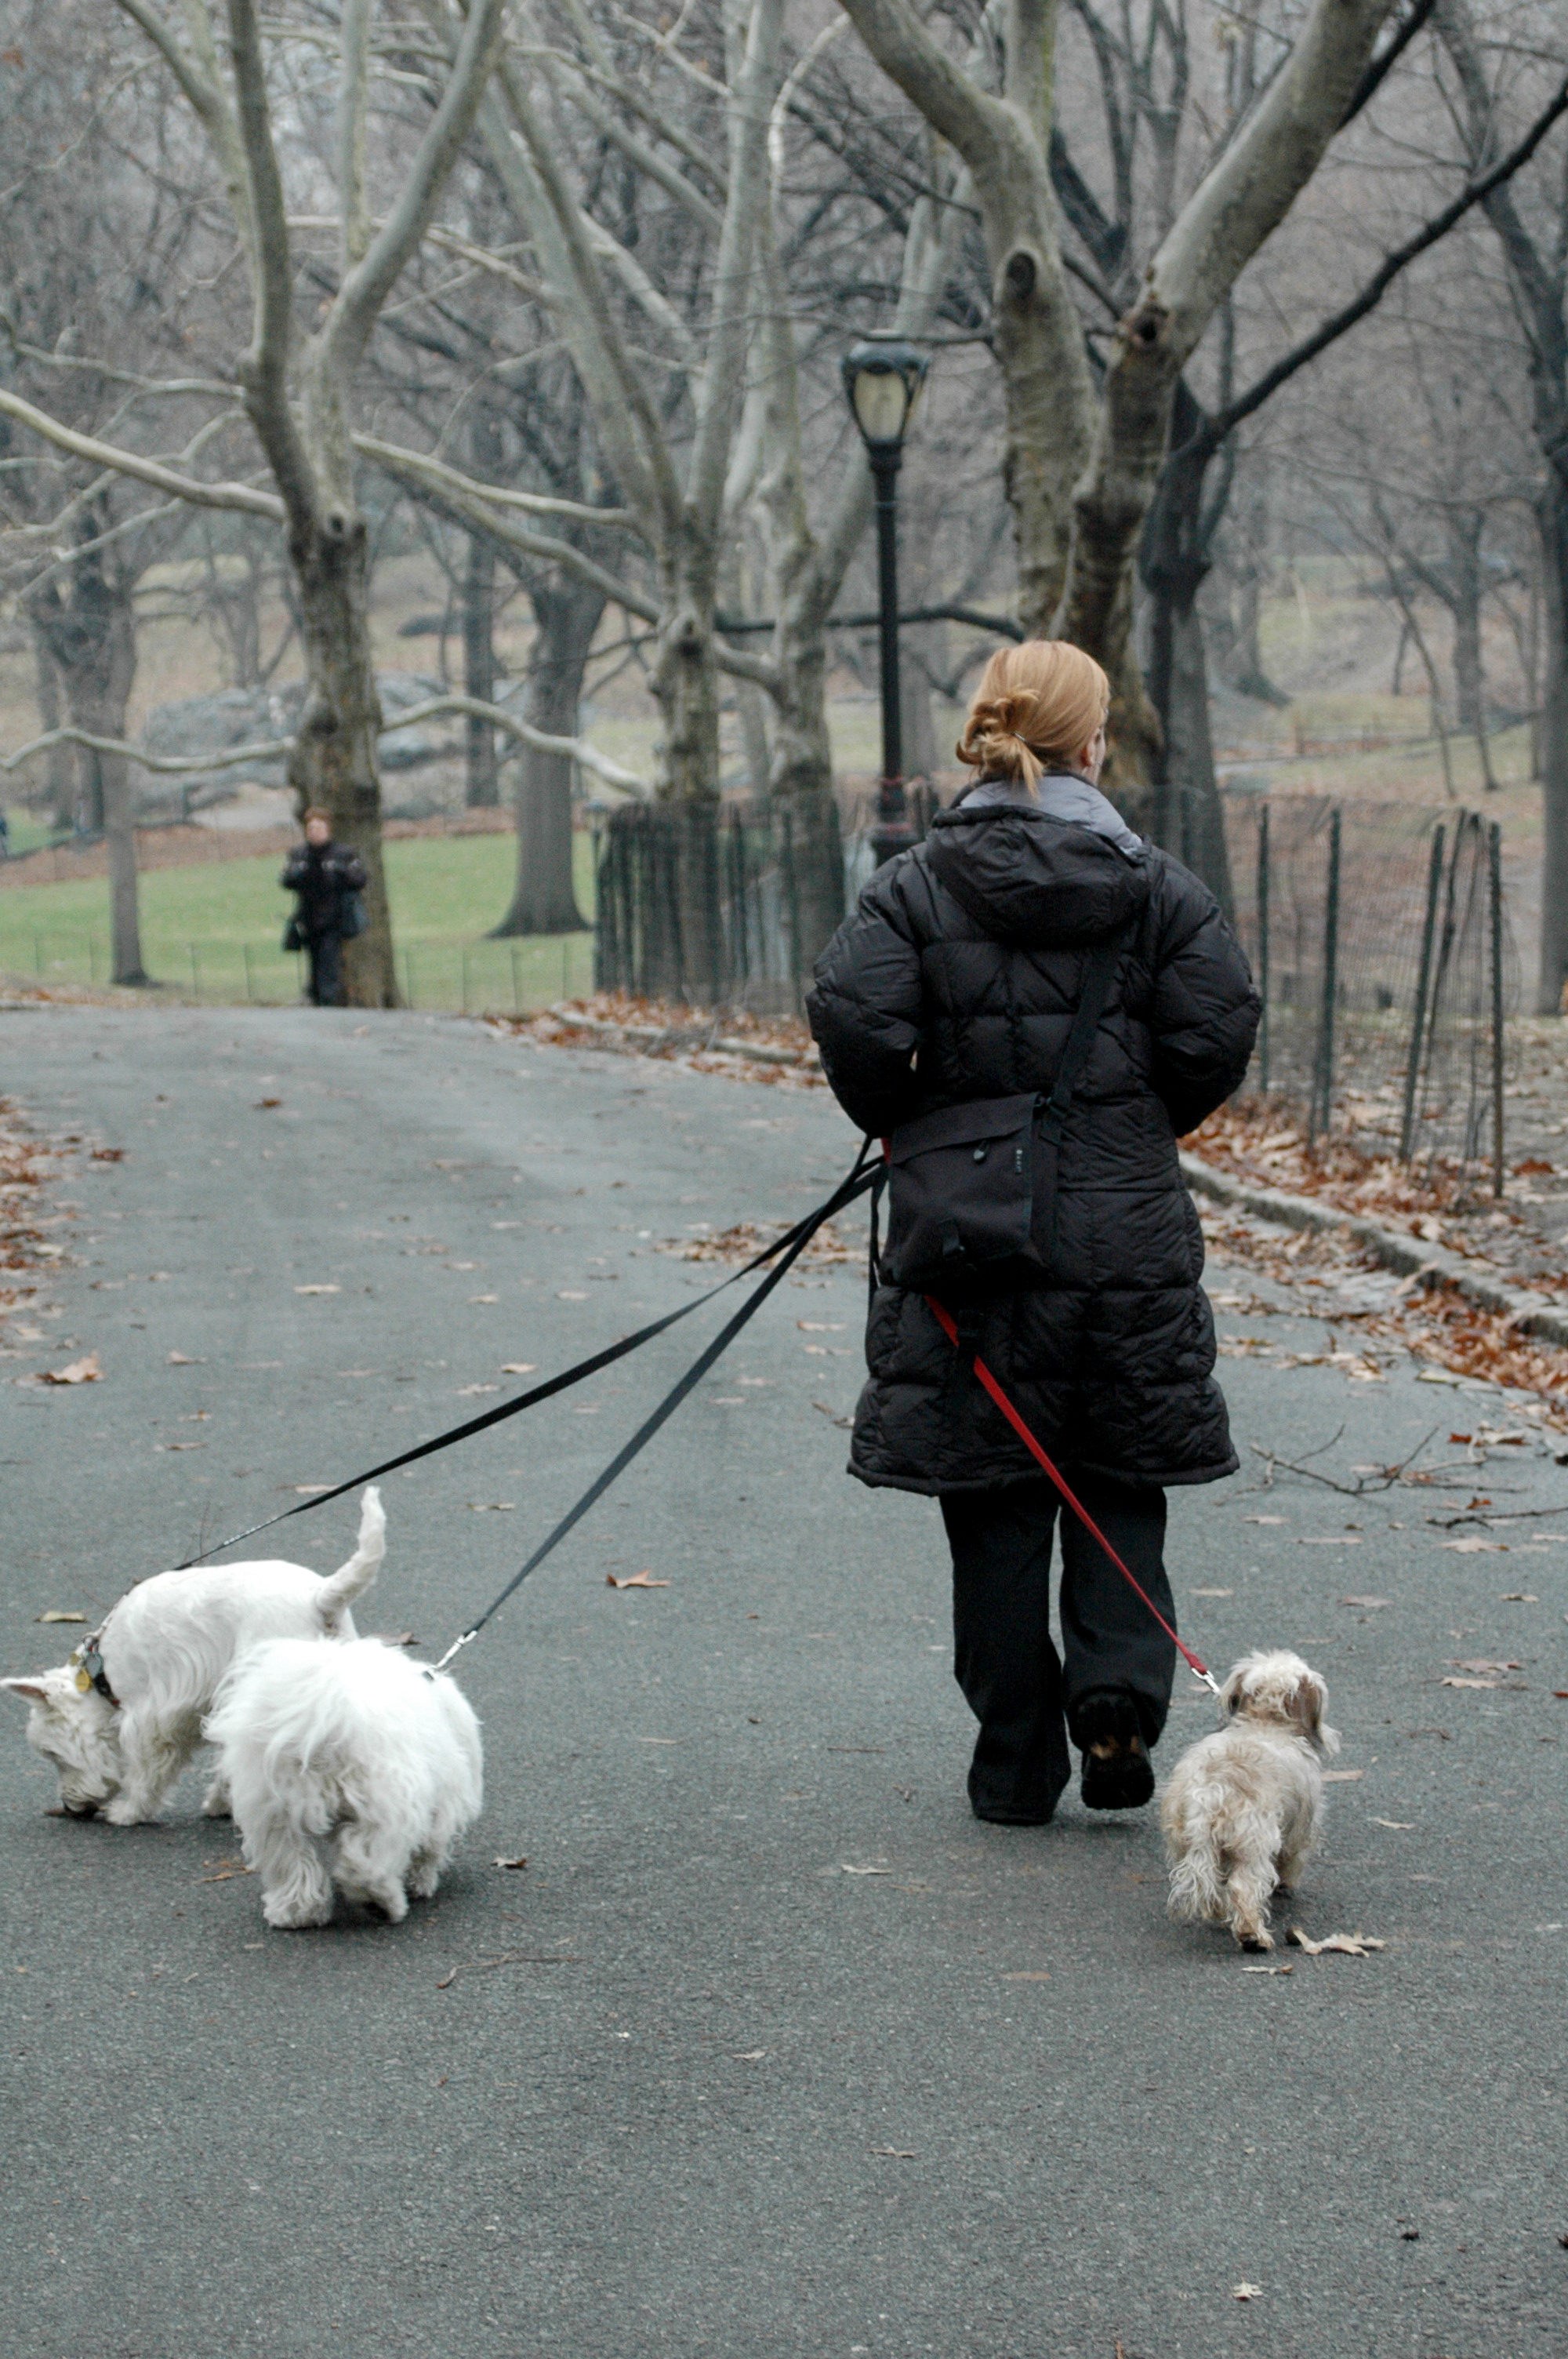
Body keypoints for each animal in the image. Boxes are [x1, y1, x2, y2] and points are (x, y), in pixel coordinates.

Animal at [4, 1491, 384, 1821]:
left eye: (53, 1755)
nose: (69, 1807)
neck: (101, 1673)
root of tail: (320, 1598)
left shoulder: (152, 1717)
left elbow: (147, 1769)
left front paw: (129, 1813)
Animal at [205, 1632, 481, 1925]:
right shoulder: (443, 1804)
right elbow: (431, 1847)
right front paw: (423, 1882)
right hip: (385, 1804)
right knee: (369, 1857)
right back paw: (379, 1899)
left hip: (276, 1810)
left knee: (293, 1860)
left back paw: (299, 1911)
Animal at [1155, 1641, 1339, 1953]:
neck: (1266, 1721)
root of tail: (1213, 1789)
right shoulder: (1301, 1827)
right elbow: (1292, 1858)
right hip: (1253, 1844)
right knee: (1243, 1888)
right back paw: (1252, 1936)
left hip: (1186, 1839)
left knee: (1212, 1883)